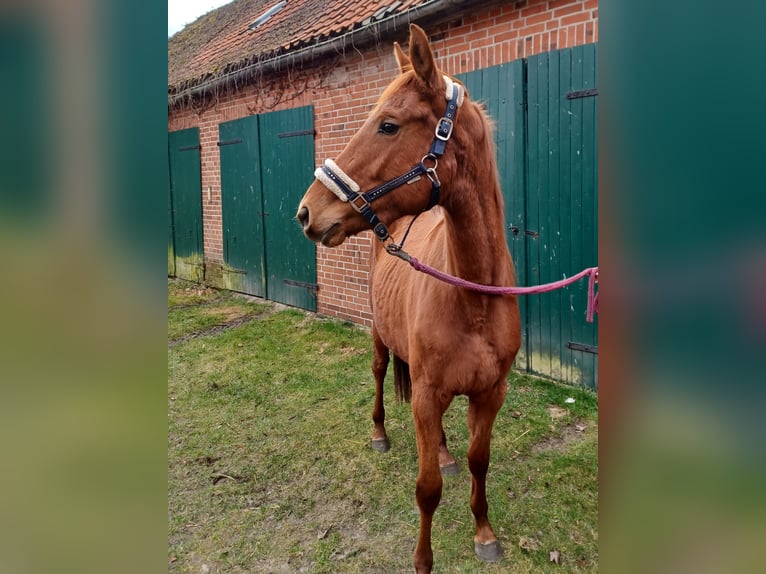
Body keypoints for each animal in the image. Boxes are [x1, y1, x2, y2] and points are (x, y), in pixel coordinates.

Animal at [296, 24, 521, 574]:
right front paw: (423, 560)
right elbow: (427, 490)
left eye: (388, 126)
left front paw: (484, 533)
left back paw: (441, 449)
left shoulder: (490, 393)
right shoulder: (424, 394)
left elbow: (479, 463)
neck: (474, 298)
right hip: (381, 338)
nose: (307, 212)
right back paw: (380, 434)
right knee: (379, 375)